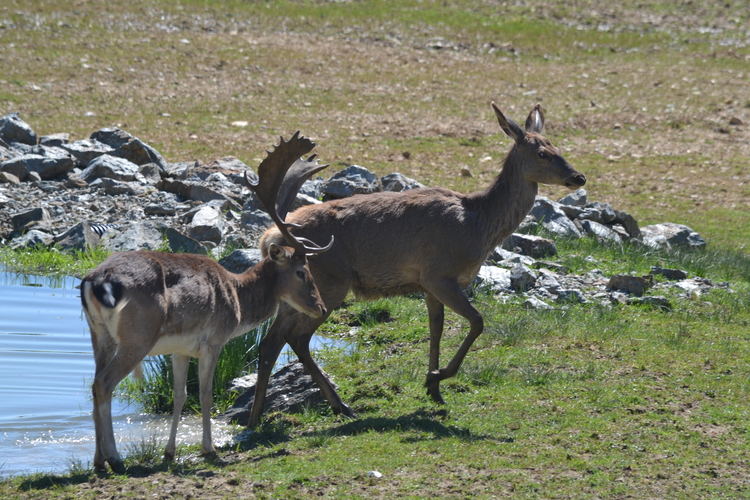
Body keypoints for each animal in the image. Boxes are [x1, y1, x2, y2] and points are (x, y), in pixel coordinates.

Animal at [80, 132, 334, 472]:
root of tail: (96, 281)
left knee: (94, 384)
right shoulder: (214, 339)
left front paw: (170, 453)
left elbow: (179, 395)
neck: (237, 301)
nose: (320, 307)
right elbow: (206, 395)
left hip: (99, 335)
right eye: (301, 272)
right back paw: (115, 459)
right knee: (104, 383)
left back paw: (98, 462)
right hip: (137, 336)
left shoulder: (178, 348)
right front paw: (209, 450)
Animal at [244, 101, 592, 426]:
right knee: (297, 338)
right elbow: (477, 321)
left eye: (558, 147)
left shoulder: (427, 285)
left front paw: (433, 387)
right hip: (328, 282)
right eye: (543, 153)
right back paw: (339, 405)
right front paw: (437, 377)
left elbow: (436, 329)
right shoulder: (439, 273)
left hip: (297, 291)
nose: (579, 176)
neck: (478, 227)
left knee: (270, 342)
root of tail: (269, 237)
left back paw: (256, 418)